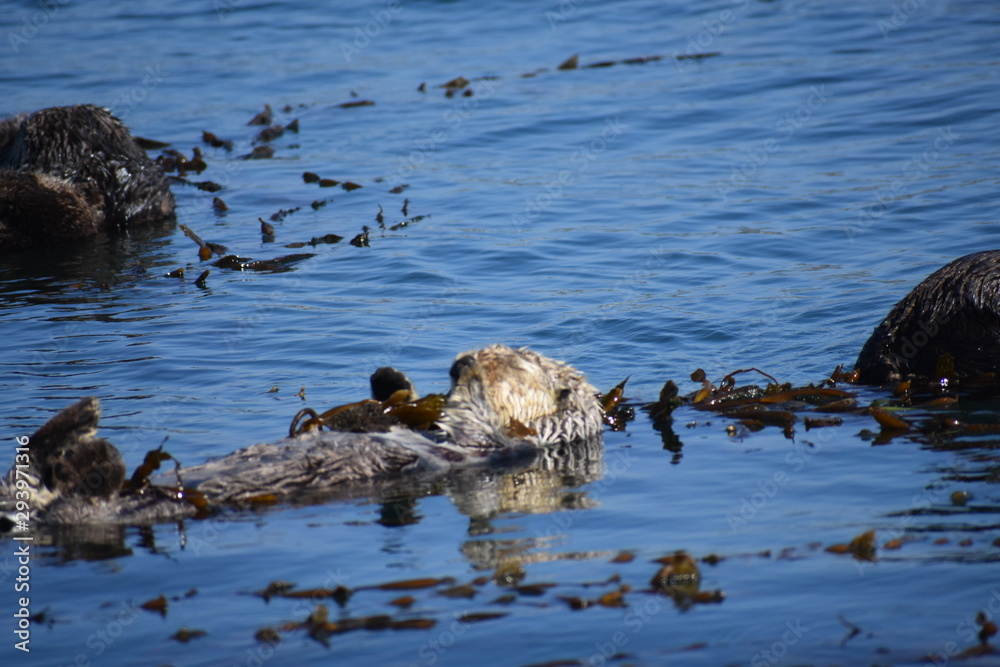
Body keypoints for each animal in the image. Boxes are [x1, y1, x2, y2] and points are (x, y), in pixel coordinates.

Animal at [1, 345, 604, 527]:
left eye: (516, 361)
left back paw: (87, 432)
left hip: (105, 504)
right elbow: (376, 415)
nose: (460, 361)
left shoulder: (498, 447)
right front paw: (393, 380)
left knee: (84, 494)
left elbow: (482, 420)